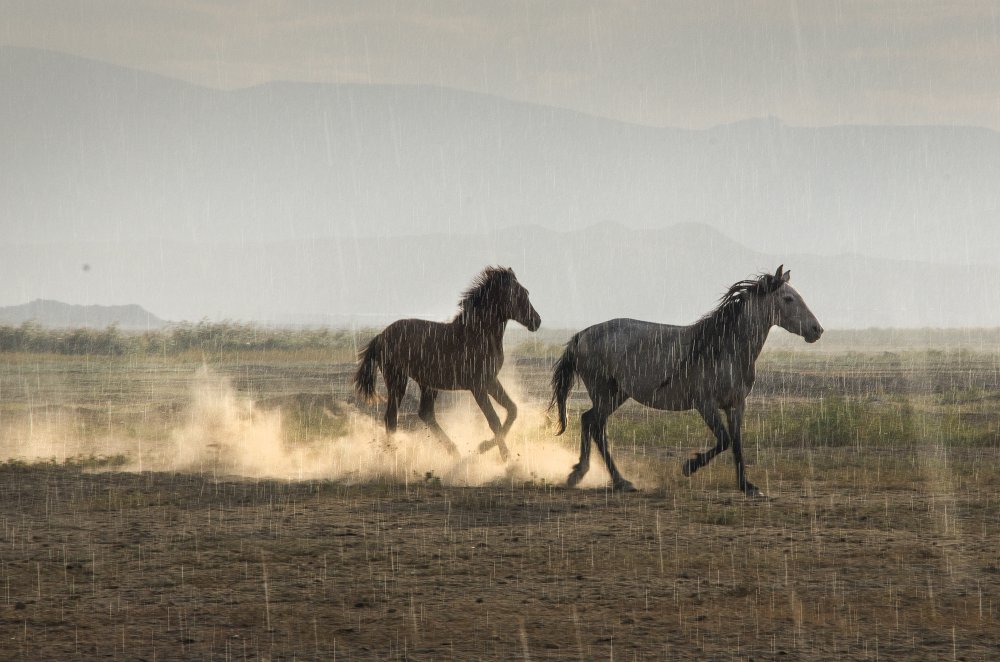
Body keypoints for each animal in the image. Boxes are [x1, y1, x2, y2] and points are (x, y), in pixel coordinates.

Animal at [354, 266, 541, 460]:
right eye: (517, 294)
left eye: (525, 292)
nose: (537, 321)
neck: (478, 334)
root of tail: (379, 336)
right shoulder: (478, 386)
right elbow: (494, 420)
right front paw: (505, 458)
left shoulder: (490, 381)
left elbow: (512, 410)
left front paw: (483, 447)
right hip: (398, 381)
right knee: (391, 418)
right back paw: (392, 457)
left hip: (427, 384)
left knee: (425, 414)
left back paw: (454, 452)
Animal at [550, 266, 822, 495]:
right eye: (788, 299)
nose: (816, 330)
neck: (725, 349)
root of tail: (583, 334)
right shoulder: (705, 404)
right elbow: (724, 440)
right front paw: (689, 466)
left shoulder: (736, 405)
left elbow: (736, 443)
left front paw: (748, 486)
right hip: (605, 393)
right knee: (596, 426)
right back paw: (620, 481)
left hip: (617, 394)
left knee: (588, 420)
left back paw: (579, 474)